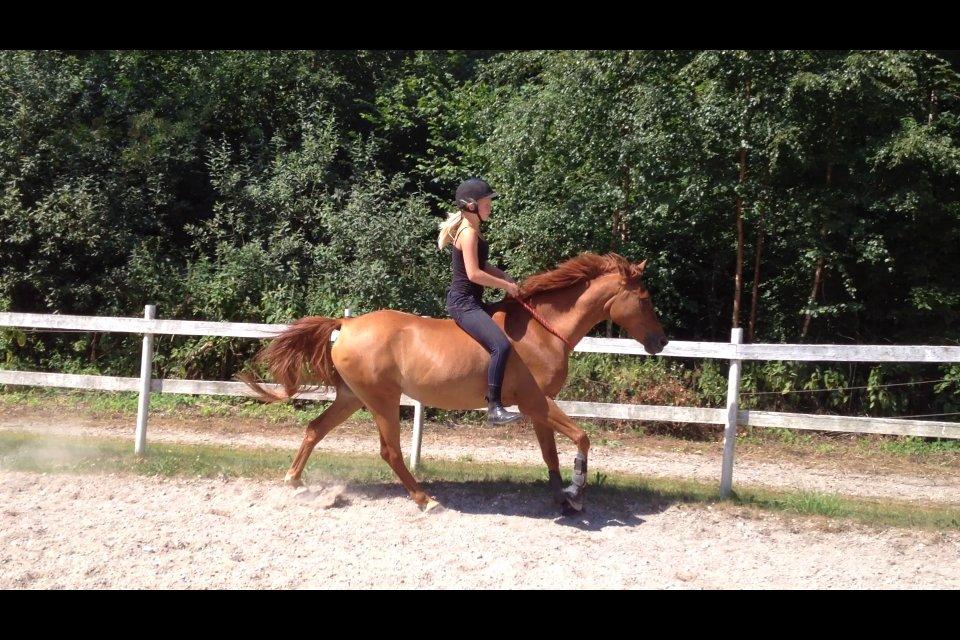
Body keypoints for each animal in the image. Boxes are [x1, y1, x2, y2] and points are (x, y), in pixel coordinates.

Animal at [240, 251, 668, 515]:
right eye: (645, 298)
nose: (661, 342)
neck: (544, 331)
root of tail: (346, 323)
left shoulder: (539, 407)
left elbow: (551, 455)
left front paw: (562, 497)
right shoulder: (535, 402)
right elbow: (581, 438)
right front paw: (577, 494)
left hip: (353, 398)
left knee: (315, 429)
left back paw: (295, 482)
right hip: (382, 401)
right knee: (390, 452)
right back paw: (425, 499)